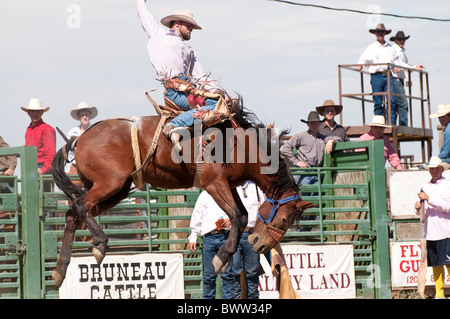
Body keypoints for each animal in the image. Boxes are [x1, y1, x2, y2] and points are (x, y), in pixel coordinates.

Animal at [51, 99, 312, 288]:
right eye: (285, 220)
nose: (260, 244)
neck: (241, 145)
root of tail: (80, 139)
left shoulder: (228, 185)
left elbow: (243, 215)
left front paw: (224, 256)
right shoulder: (214, 183)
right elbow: (238, 216)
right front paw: (221, 258)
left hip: (117, 189)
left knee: (74, 213)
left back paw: (60, 269)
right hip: (110, 184)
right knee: (80, 206)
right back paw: (100, 245)